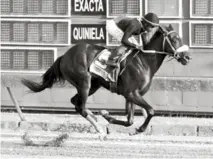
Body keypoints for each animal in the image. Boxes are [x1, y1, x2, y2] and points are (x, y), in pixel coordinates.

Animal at [22, 24, 191, 134]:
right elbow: (150, 110)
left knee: (75, 102)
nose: (187, 57)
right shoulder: (131, 93)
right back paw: (99, 129)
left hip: (93, 85)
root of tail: (64, 56)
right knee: (80, 106)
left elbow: (129, 120)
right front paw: (140, 129)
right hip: (84, 82)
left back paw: (96, 118)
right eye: (174, 39)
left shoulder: (130, 95)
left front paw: (108, 116)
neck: (143, 61)